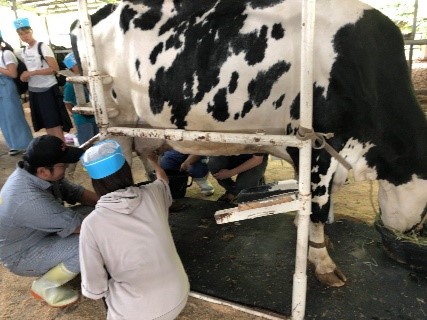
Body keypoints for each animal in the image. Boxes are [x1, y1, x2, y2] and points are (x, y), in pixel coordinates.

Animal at [72, 0, 426, 284]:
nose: (413, 232)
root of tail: (97, 14)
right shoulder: (320, 150)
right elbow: (318, 208)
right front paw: (323, 263)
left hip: (141, 126)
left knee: (148, 159)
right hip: (115, 123)